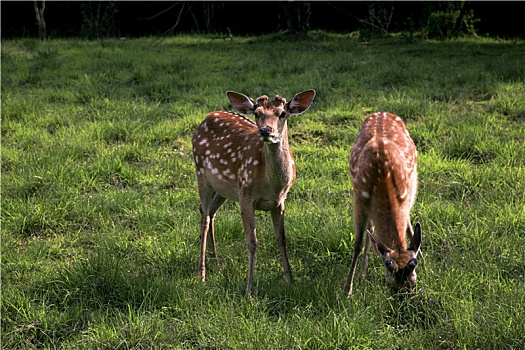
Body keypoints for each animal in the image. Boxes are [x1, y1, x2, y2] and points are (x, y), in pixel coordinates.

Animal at [192, 89, 316, 294]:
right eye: (257, 113)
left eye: (282, 113)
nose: (266, 131)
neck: (271, 185)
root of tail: (207, 117)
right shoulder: (246, 195)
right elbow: (252, 242)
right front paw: (249, 288)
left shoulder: (280, 201)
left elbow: (281, 238)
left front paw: (290, 280)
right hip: (201, 172)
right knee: (205, 218)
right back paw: (201, 273)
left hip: (223, 188)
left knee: (209, 212)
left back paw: (216, 263)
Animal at [344, 111, 422, 296]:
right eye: (391, 285)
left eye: (413, 284)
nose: (401, 299)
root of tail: (381, 112)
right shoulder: (359, 199)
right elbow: (358, 243)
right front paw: (347, 289)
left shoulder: (405, 196)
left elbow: (408, 228)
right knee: (371, 230)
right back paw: (362, 272)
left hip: (413, 183)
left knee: (406, 226)